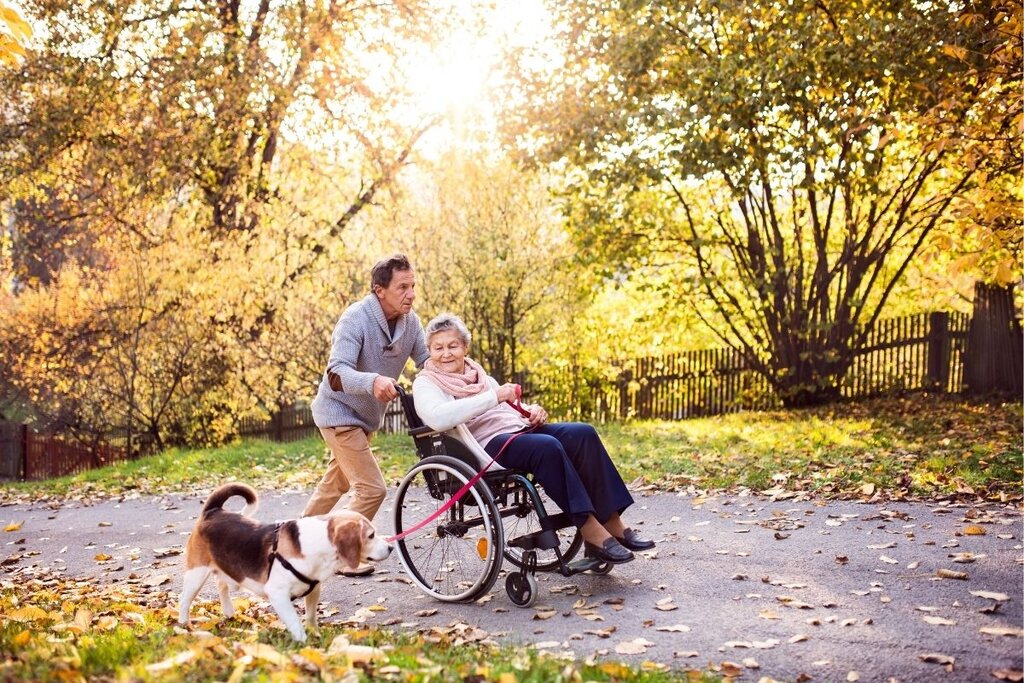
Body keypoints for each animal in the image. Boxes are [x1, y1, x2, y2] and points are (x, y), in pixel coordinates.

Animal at [178, 483, 389, 638]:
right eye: (371, 535)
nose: (390, 547)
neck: (316, 544)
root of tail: (212, 511)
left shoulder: (314, 590)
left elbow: (311, 617)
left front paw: (316, 636)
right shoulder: (278, 594)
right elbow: (295, 623)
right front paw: (305, 643)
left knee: (221, 585)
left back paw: (229, 612)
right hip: (196, 574)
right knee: (184, 599)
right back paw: (183, 625)